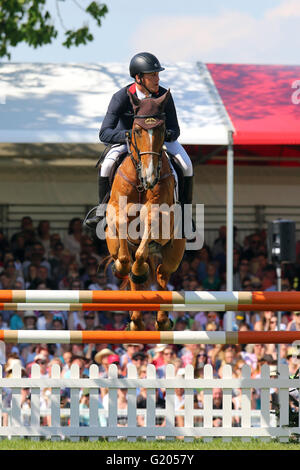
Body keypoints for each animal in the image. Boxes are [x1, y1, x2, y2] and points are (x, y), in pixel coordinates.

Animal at [105, 88, 185, 330]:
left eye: (161, 130)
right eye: (137, 130)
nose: (150, 178)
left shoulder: (159, 213)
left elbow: (148, 221)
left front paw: (140, 270)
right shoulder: (116, 209)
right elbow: (122, 223)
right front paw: (124, 268)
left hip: (173, 252)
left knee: (161, 275)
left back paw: (161, 320)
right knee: (129, 269)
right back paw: (136, 320)